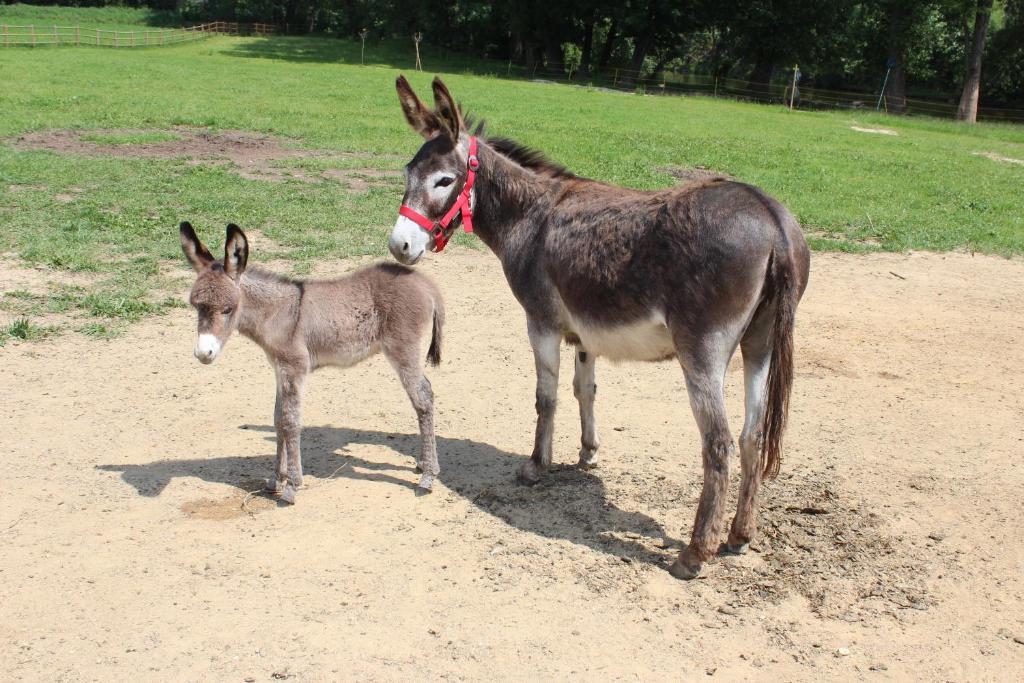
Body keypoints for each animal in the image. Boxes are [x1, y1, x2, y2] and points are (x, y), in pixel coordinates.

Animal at [180, 224, 444, 501]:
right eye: (196, 306)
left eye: (228, 309)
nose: (203, 353)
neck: (278, 313)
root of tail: (425, 283)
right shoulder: (279, 368)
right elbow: (277, 419)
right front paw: (276, 480)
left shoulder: (294, 367)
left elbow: (290, 421)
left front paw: (292, 486)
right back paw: (423, 463)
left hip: (402, 349)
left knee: (423, 397)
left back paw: (428, 476)